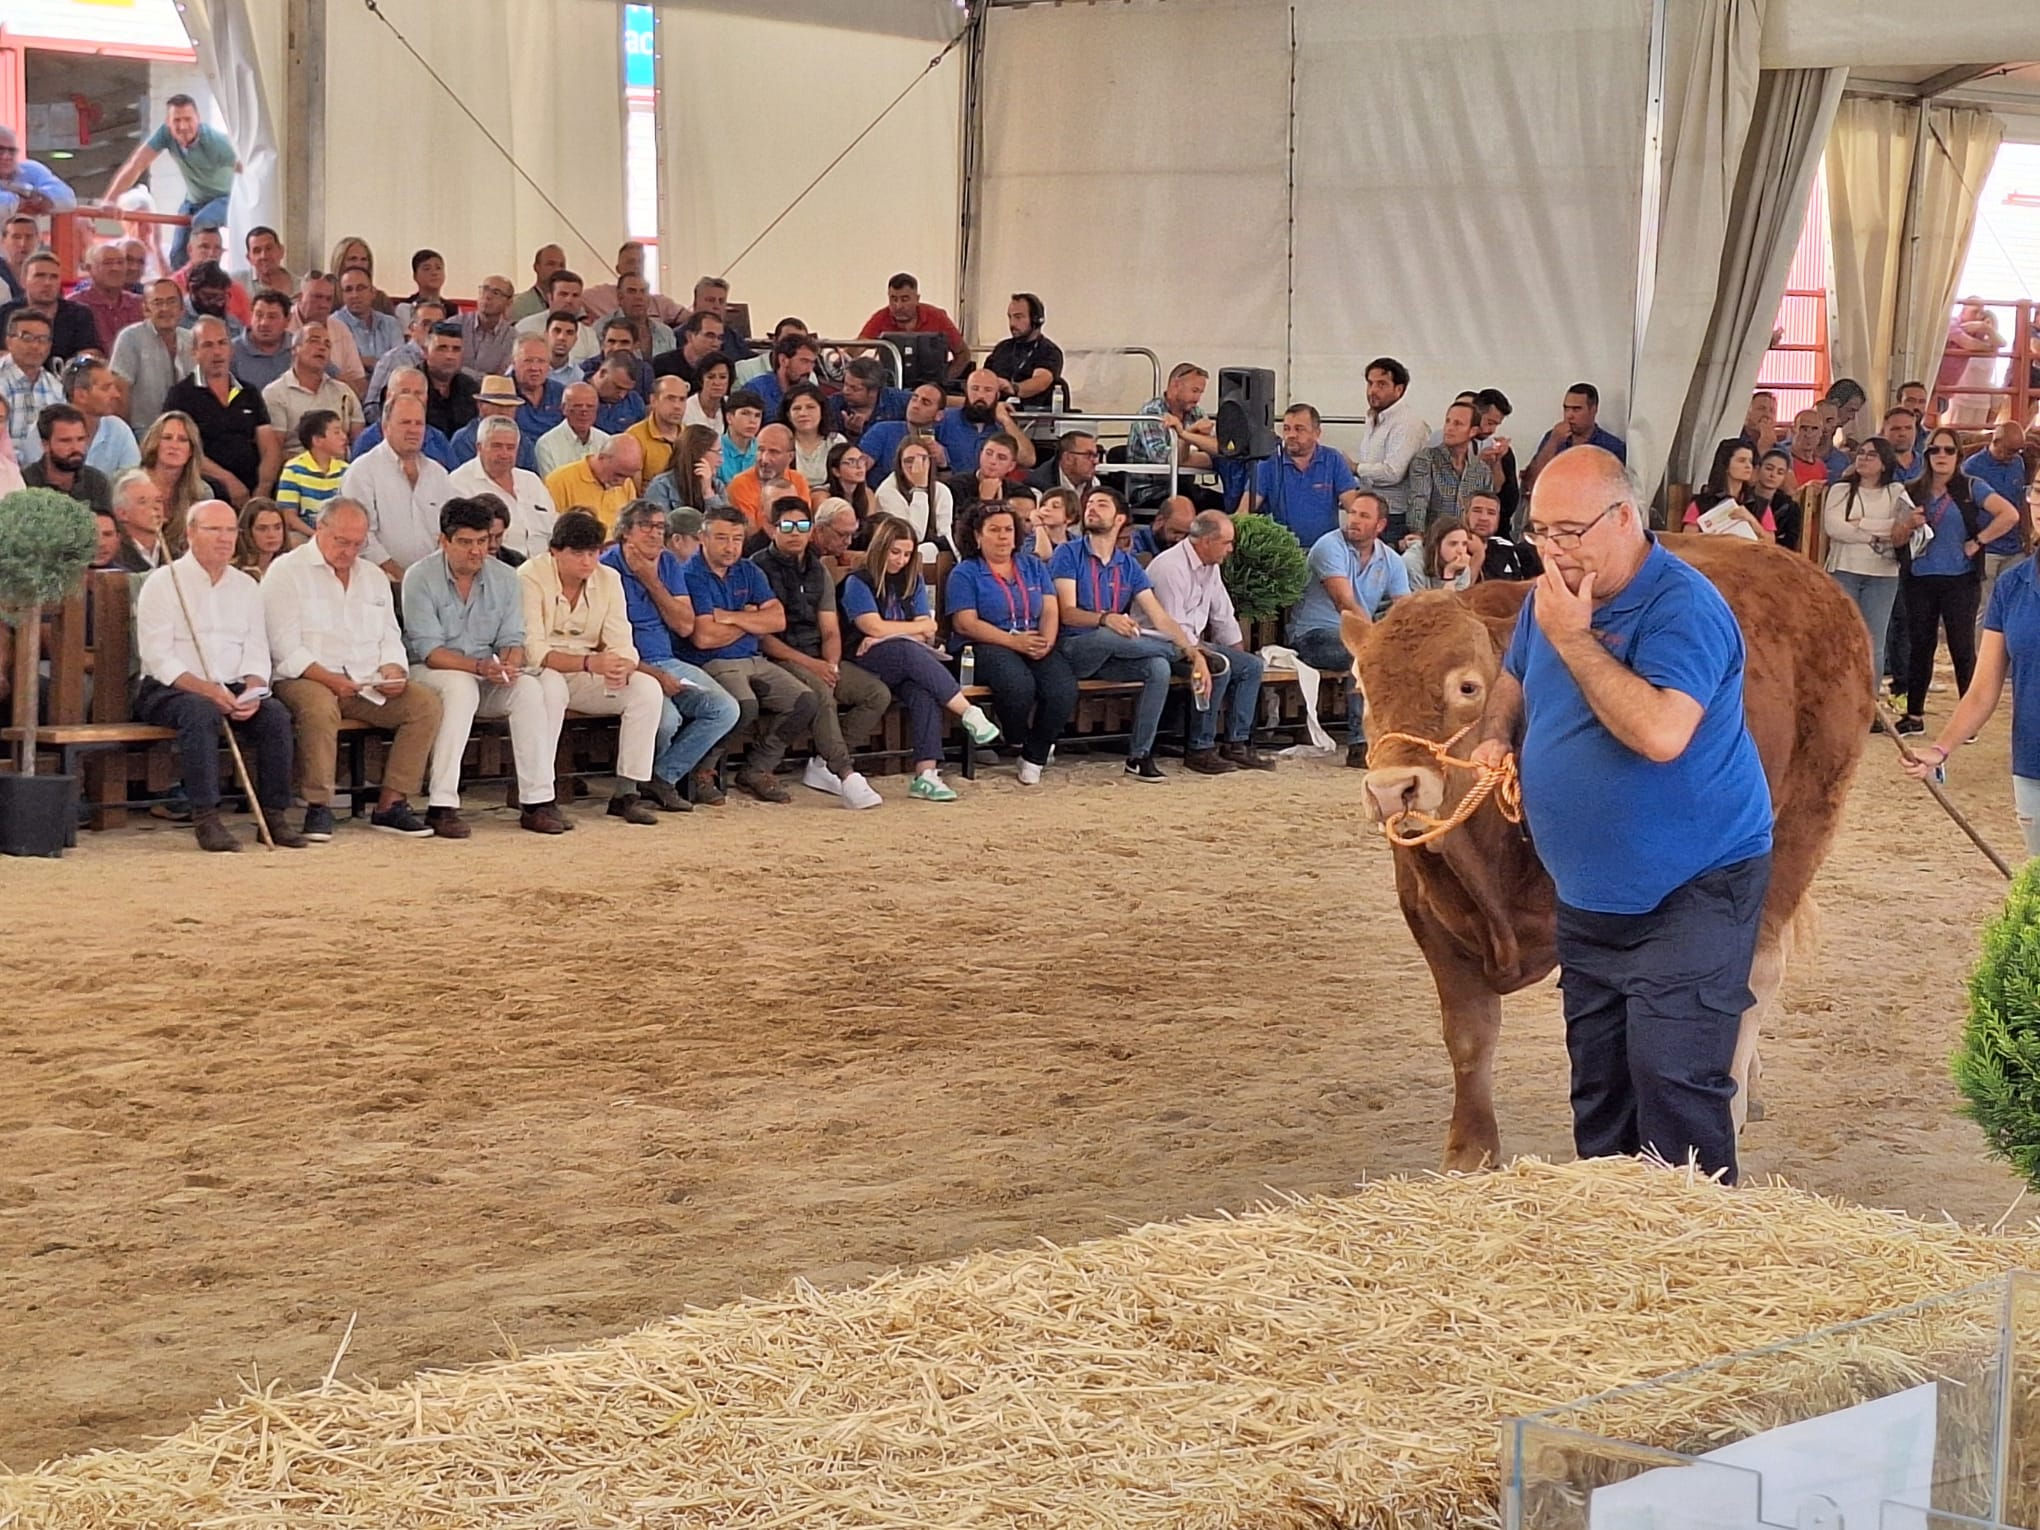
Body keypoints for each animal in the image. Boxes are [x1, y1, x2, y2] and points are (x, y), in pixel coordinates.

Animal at [1346, 542, 1868, 1175]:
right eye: (1362, 685)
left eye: (1467, 687)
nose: (1392, 788)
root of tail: (1814, 578)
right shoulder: (1426, 915)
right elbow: (1470, 1035)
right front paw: (1469, 1154)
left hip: (1806, 818)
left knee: (1757, 970)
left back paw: (1735, 1099)